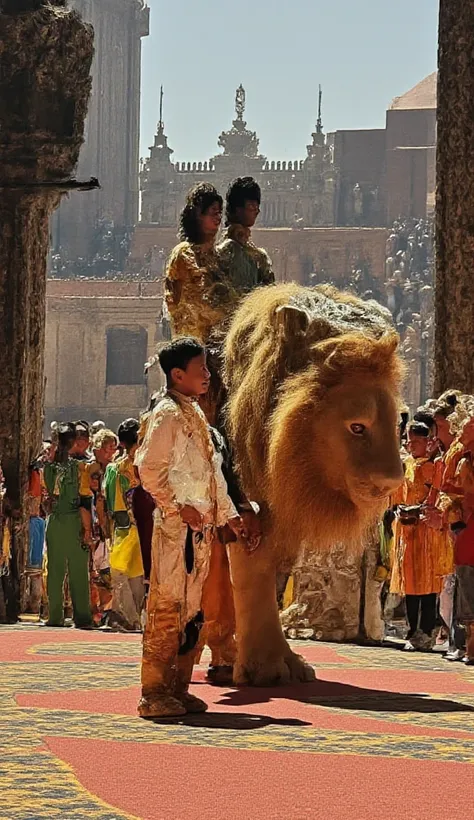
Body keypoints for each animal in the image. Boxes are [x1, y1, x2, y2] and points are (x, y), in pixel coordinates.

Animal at [225, 282, 404, 684]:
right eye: (357, 427)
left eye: (398, 421)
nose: (392, 482)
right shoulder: (245, 506)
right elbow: (252, 570)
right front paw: (268, 668)